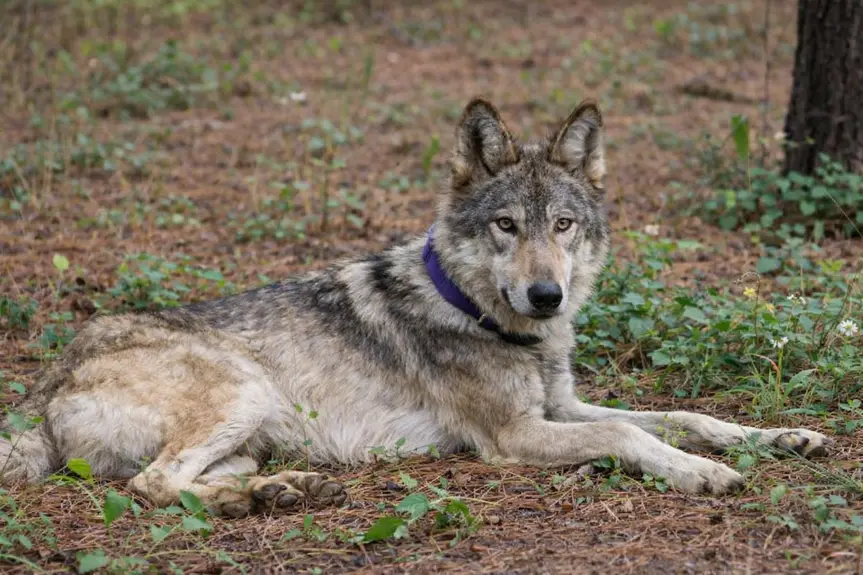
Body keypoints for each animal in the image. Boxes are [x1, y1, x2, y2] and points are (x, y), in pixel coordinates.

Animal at [1, 98, 831, 517]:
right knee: (151, 485)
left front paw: (781, 437)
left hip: (251, 433)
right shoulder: (516, 435)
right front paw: (702, 474)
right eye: (507, 226)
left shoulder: (561, 406)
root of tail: (42, 389)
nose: (547, 294)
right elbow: (632, 433)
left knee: (182, 481)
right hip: (245, 392)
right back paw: (268, 497)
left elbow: (685, 414)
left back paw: (279, 492)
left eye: (563, 224)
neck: (488, 316)